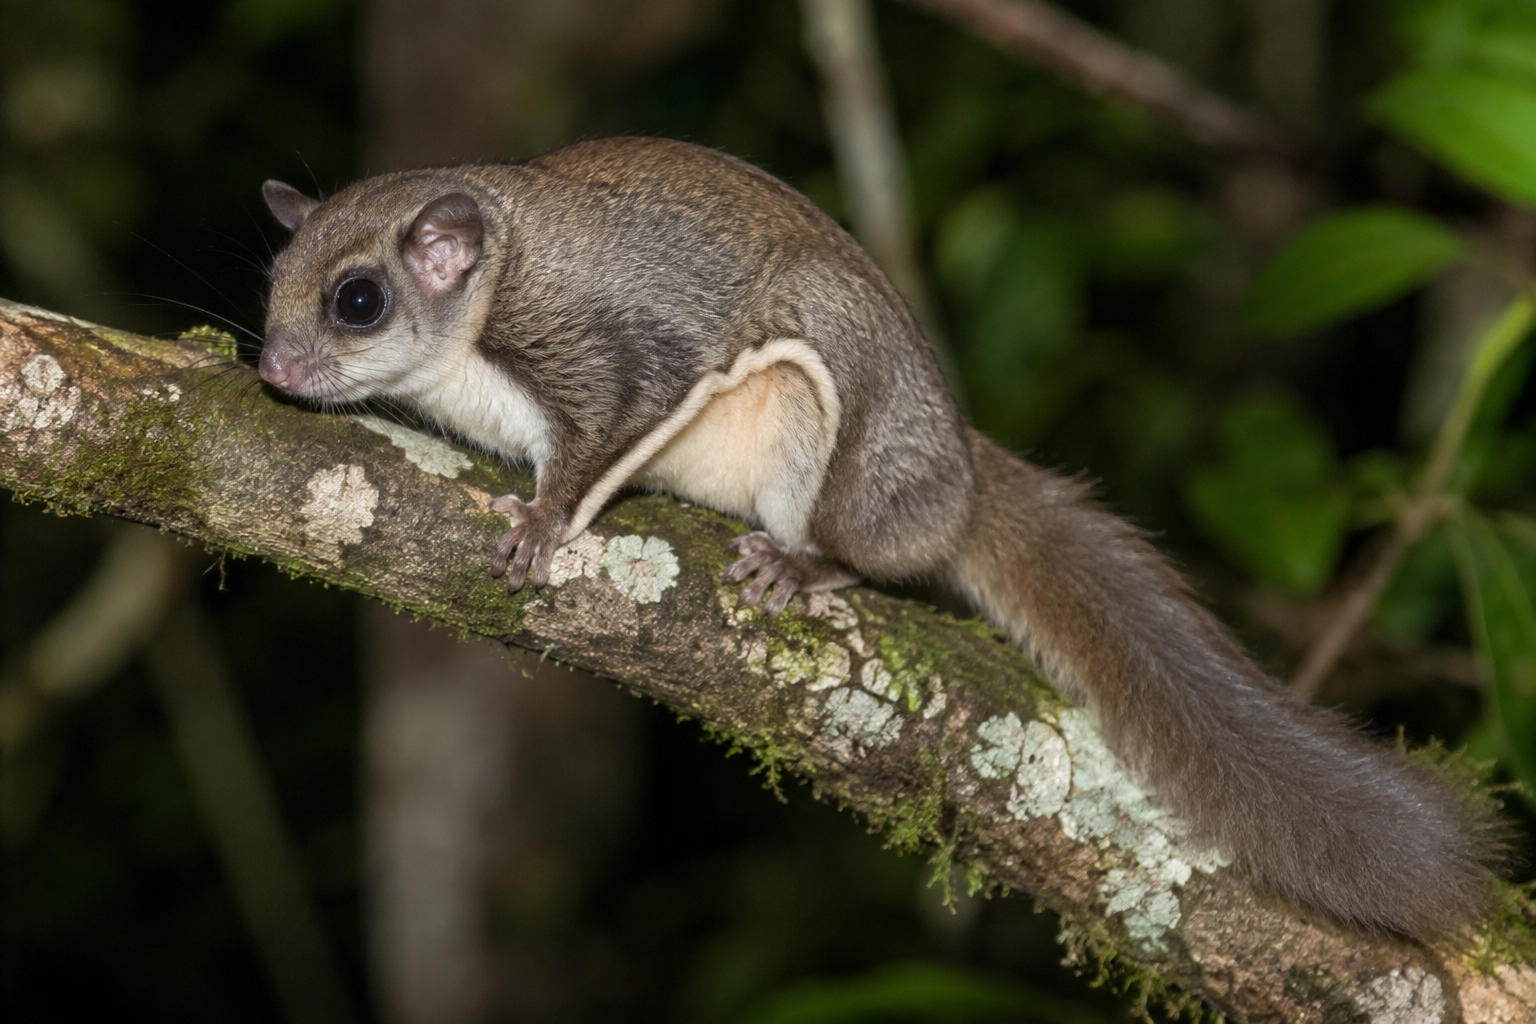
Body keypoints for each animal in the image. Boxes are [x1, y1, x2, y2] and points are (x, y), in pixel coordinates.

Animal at [259, 136, 1494, 938]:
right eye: (275, 281)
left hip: (838, 418)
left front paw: (547, 520)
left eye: (359, 300)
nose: (271, 369)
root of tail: (960, 475)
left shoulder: (605, 348)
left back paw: (805, 562)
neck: (477, 320)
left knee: (869, 540)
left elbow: (611, 434)